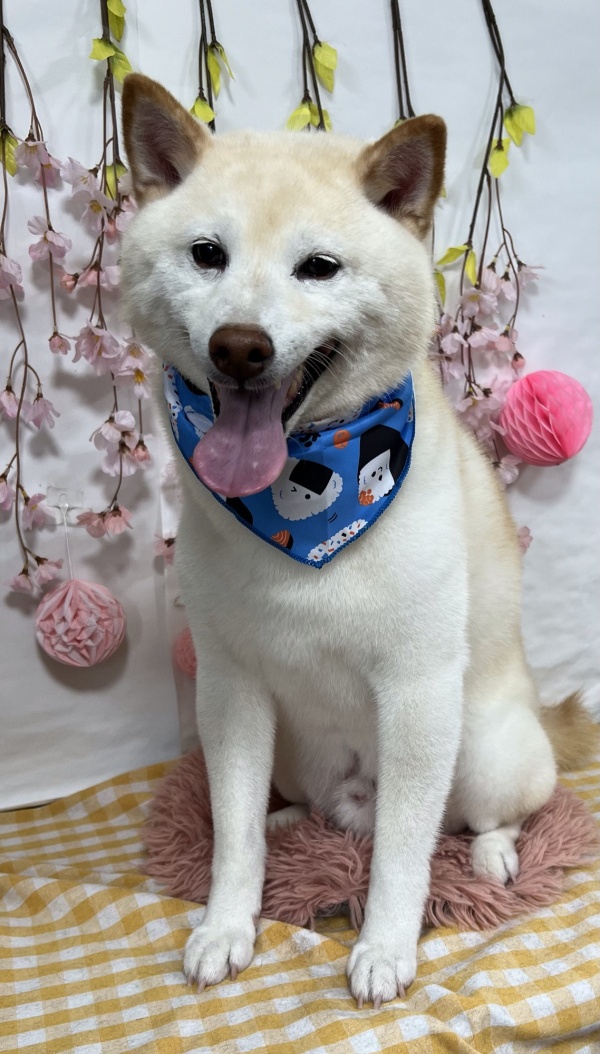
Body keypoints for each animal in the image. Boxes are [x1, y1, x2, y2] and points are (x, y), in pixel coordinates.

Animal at [121, 74, 596, 1007]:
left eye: (319, 267)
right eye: (207, 254)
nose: (240, 347)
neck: (300, 515)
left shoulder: (415, 688)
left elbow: (406, 857)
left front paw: (384, 946)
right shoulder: (230, 686)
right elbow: (233, 832)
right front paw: (227, 926)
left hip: (480, 744)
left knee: (487, 815)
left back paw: (494, 855)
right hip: (293, 751)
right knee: (300, 809)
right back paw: (294, 820)